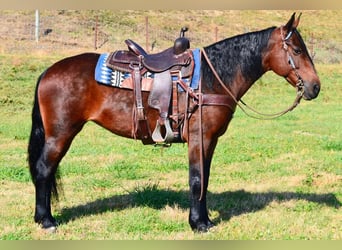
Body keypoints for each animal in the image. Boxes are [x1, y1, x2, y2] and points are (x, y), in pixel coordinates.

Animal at [27, 13, 320, 232]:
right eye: (296, 49)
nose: (315, 87)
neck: (211, 78)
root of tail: (48, 72)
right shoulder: (200, 138)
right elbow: (196, 179)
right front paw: (198, 224)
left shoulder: (209, 141)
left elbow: (205, 178)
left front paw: (204, 219)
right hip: (61, 133)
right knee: (44, 169)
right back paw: (46, 220)